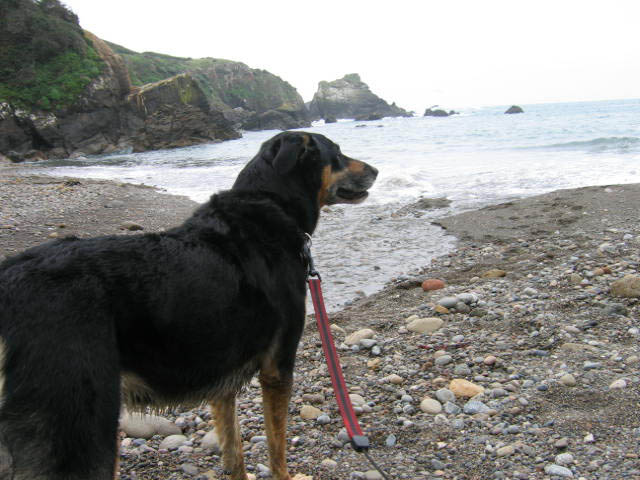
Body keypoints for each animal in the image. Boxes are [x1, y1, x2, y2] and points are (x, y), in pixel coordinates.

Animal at [0, 131, 377, 480]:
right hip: (81, 426)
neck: (267, 203)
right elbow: (276, 451)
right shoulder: (277, 367)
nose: (375, 169)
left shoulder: (222, 380)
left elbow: (234, 453)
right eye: (337, 153)